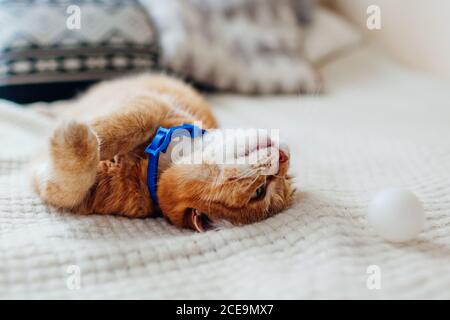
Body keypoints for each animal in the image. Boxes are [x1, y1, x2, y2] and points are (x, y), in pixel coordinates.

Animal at [29, 74, 294, 231]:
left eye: (259, 192)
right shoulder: (152, 106)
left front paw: (73, 137)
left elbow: (68, 185)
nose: (283, 157)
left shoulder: (79, 195)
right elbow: (126, 125)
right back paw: (44, 109)